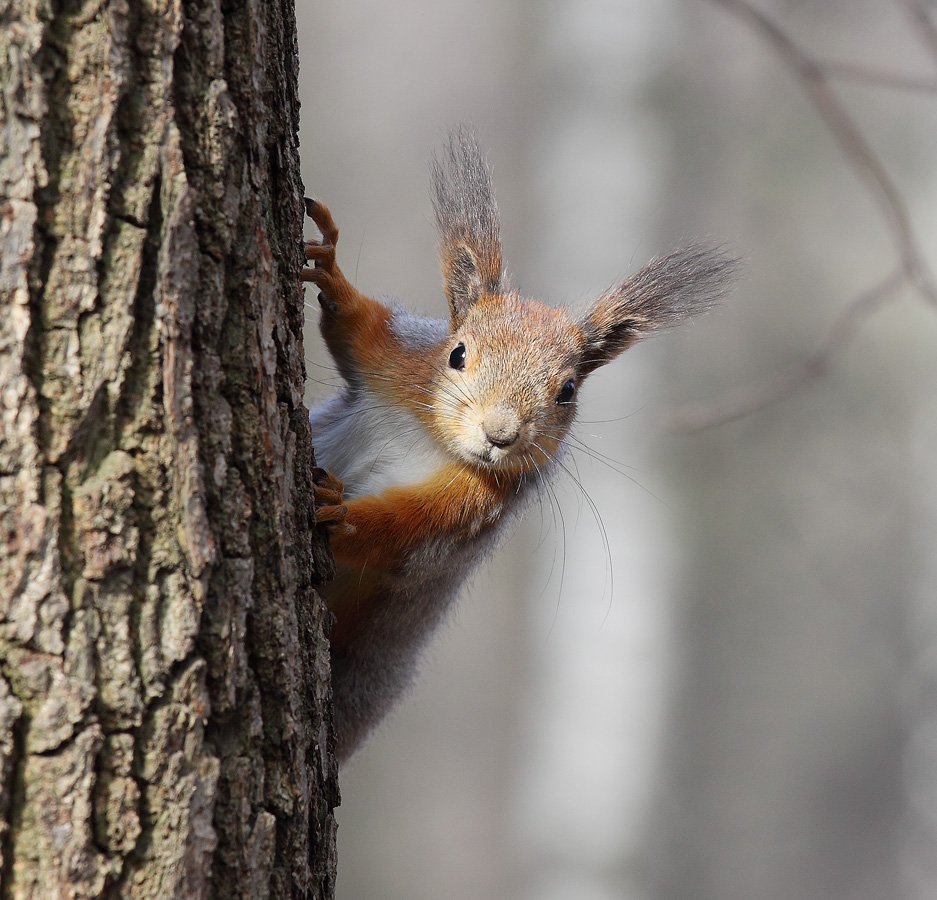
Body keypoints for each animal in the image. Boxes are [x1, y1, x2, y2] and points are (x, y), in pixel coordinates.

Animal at [304, 126, 736, 764]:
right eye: (456, 353)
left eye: (568, 392)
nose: (500, 434)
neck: (435, 438)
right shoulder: (392, 364)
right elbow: (355, 329)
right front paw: (330, 270)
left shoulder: (475, 505)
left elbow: (403, 535)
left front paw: (340, 516)